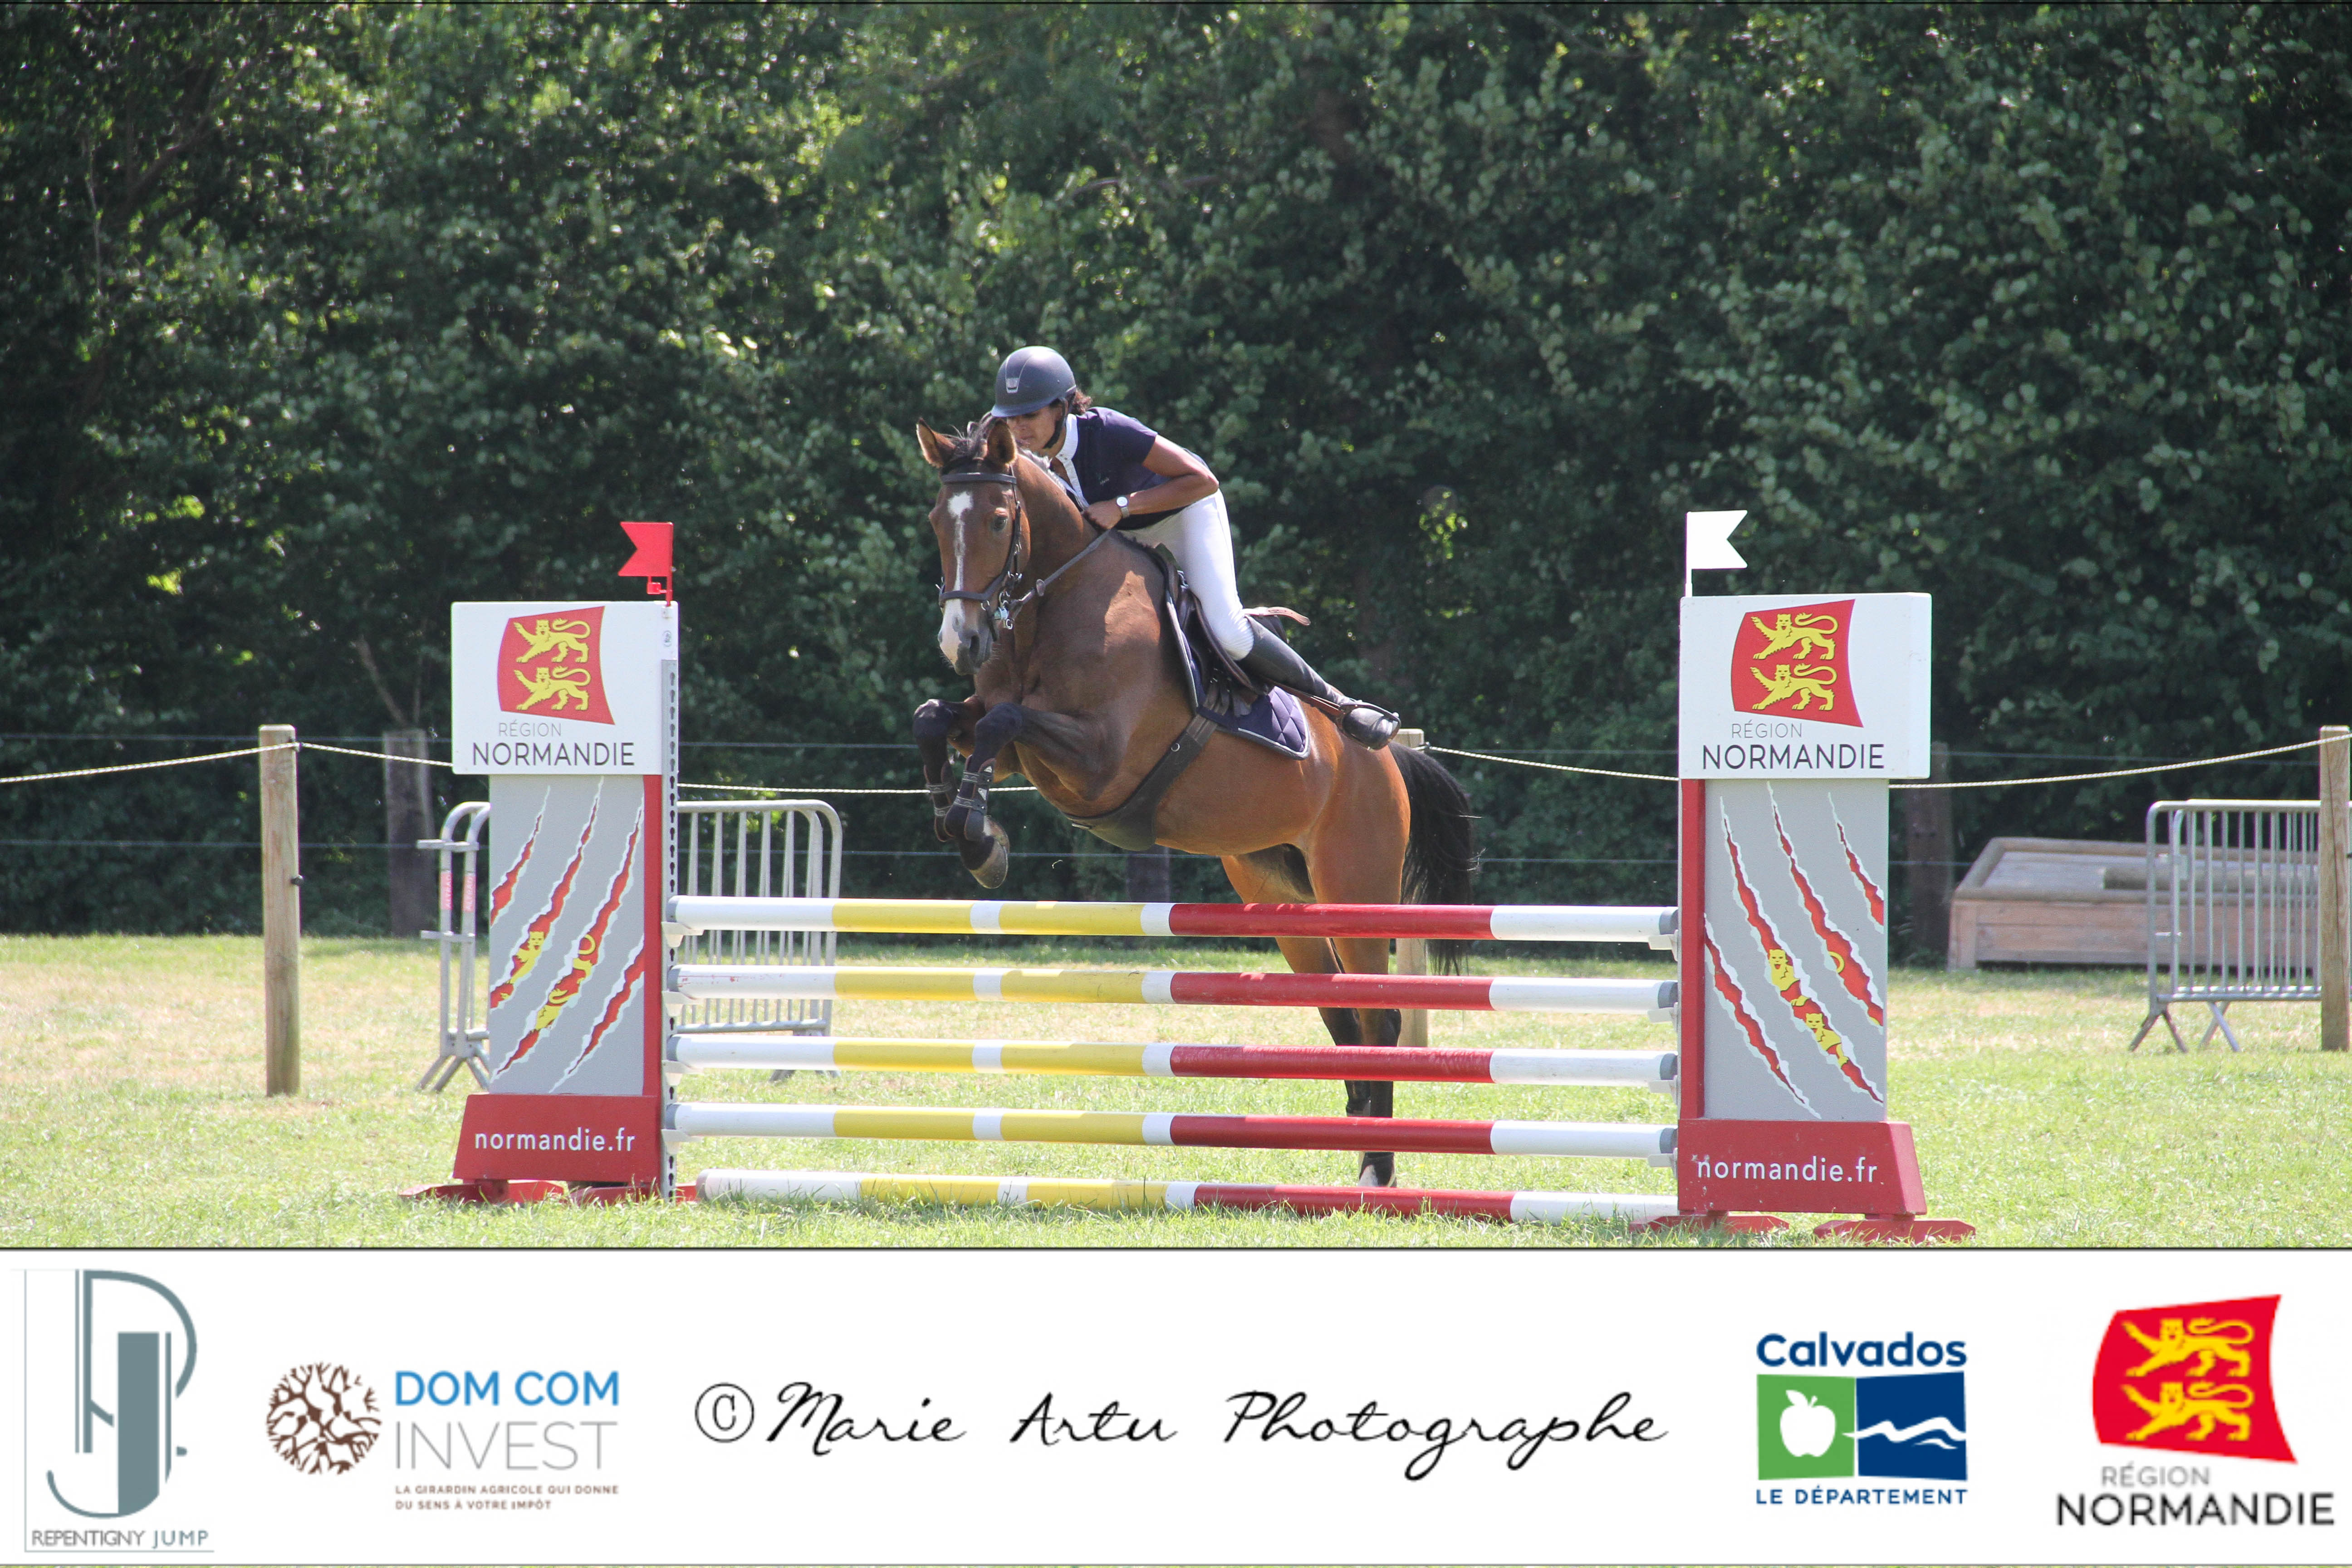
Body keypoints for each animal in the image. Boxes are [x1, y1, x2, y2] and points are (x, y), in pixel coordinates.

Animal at [908, 415, 1479, 1187]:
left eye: (999, 520)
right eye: (938, 521)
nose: (961, 642)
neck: (1050, 610)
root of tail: (1390, 760)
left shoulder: (1101, 760)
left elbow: (1003, 723)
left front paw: (978, 833)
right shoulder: (1013, 730)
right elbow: (940, 717)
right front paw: (961, 818)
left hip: (1357, 884)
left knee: (1379, 1018)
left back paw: (1377, 1169)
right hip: (1281, 892)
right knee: (1338, 1013)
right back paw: (1355, 1137)